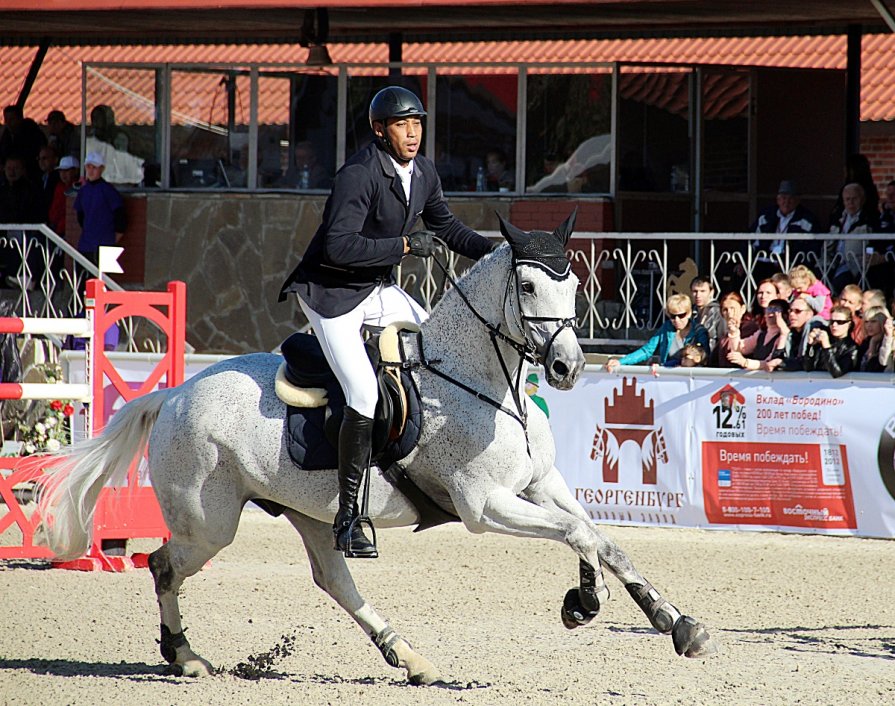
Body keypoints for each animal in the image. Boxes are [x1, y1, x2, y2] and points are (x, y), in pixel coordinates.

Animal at [38, 213, 716, 680]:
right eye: (525, 287)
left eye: (572, 282)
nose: (569, 368)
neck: (482, 382)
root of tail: (176, 393)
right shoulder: (484, 505)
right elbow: (579, 534)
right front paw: (586, 602)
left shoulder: (540, 484)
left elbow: (601, 537)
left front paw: (673, 623)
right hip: (210, 523)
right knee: (164, 565)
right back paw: (184, 657)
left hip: (310, 513)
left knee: (334, 578)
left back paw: (409, 657)